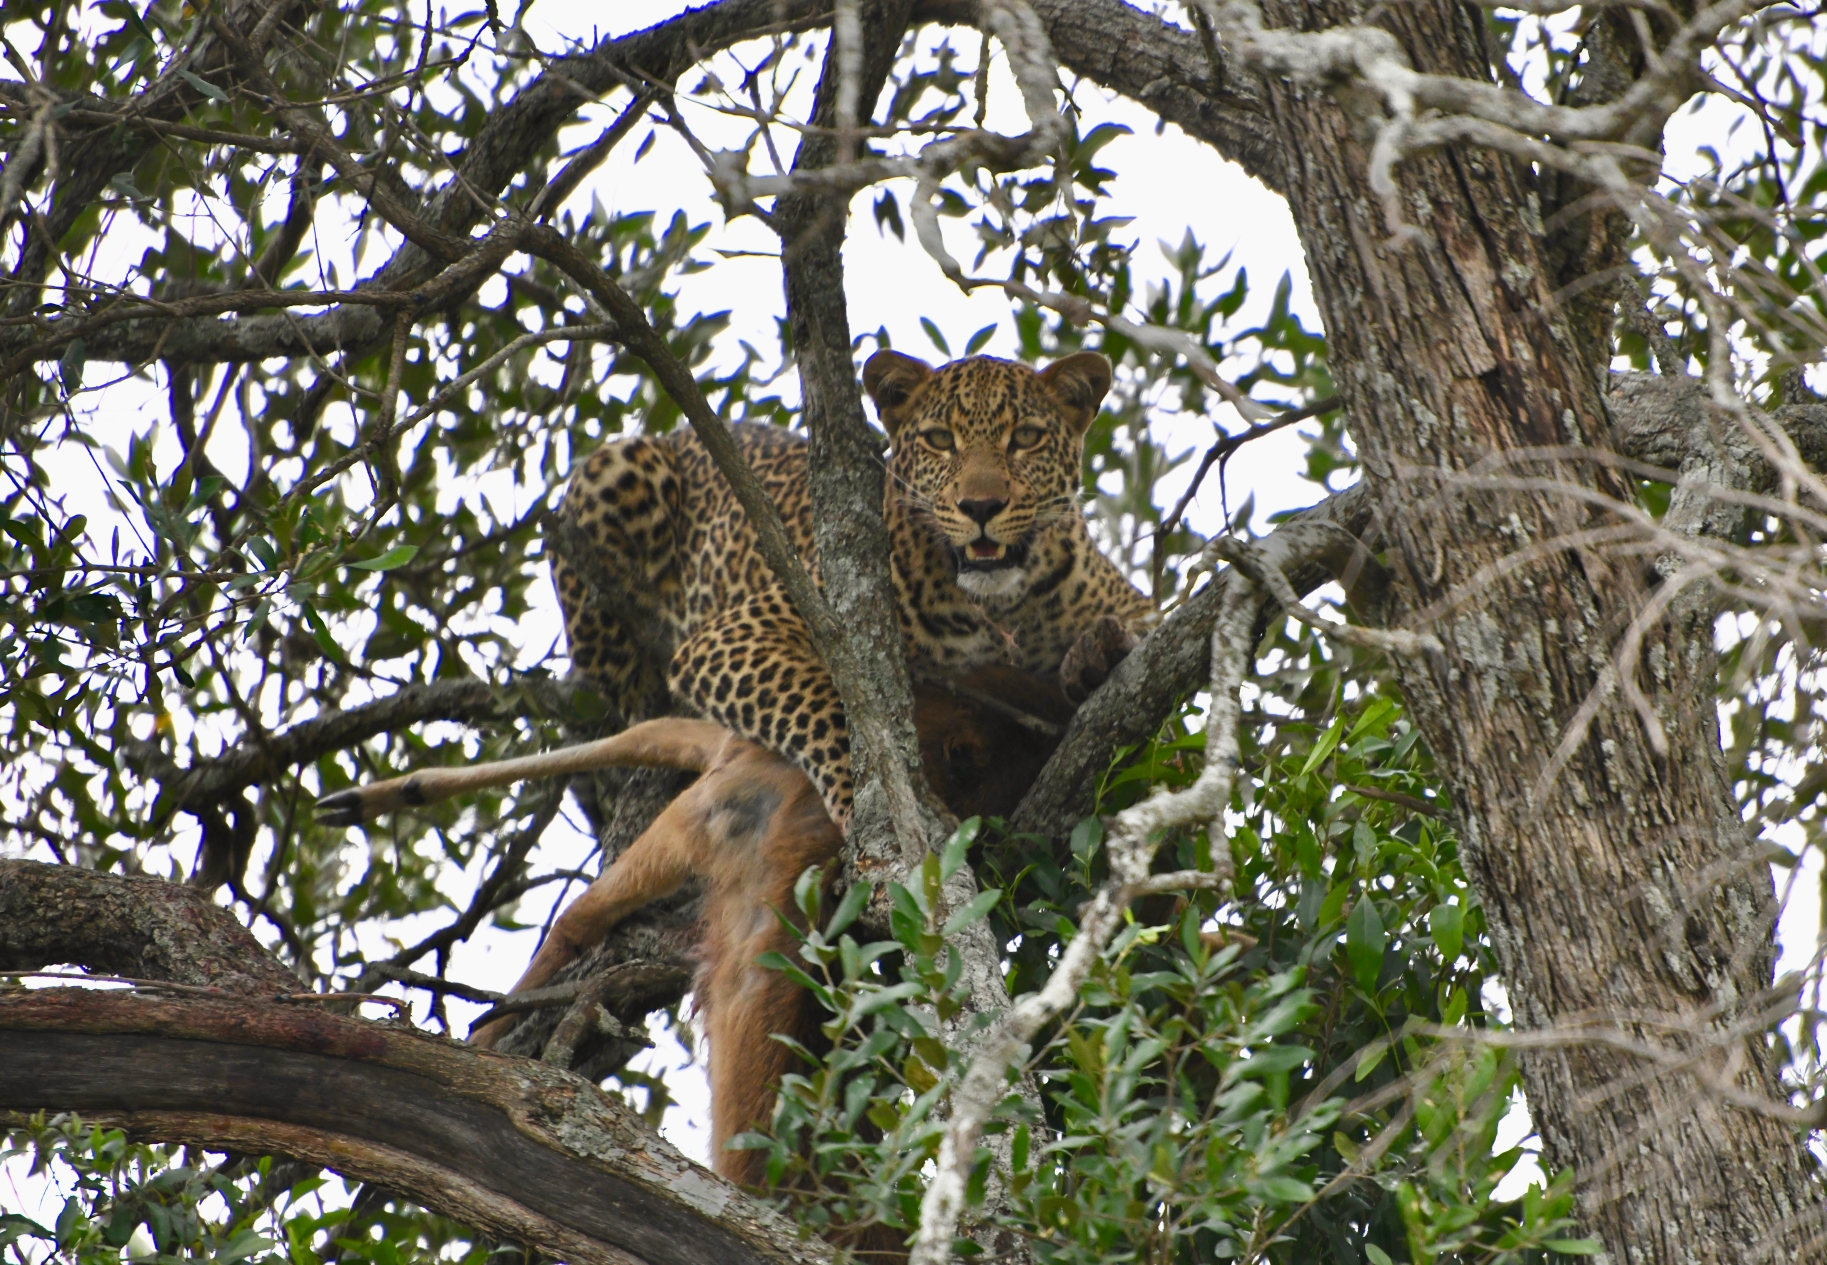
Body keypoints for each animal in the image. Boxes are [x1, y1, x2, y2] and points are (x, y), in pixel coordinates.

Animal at [555, 350, 1154, 829]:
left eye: (1026, 437)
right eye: (940, 440)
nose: (980, 507)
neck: (1001, 605)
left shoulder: (1132, 602)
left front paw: (1097, 651)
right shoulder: (737, 633)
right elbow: (827, 709)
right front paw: (875, 801)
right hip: (613, 472)